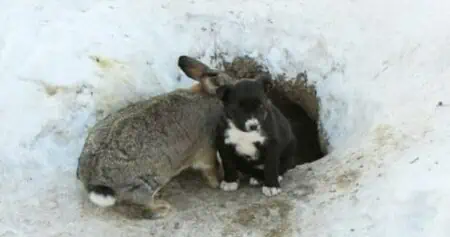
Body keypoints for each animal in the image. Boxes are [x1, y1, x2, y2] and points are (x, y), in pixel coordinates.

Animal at [75, 56, 237, 220]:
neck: (208, 97)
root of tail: (93, 181)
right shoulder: (207, 147)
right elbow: (210, 166)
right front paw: (217, 182)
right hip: (148, 181)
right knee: (141, 205)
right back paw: (162, 208)